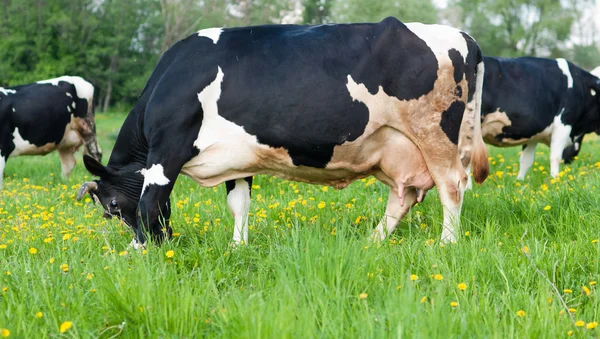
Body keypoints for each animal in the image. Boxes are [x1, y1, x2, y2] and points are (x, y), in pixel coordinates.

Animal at [76, 17, 488, 247]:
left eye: (112, 206)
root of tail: (463, 36)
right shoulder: (238, 161)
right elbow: (238, 204)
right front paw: (237, 247)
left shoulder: (167, 148)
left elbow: (150, 203)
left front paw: (144, 250)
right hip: (398, 147)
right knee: (403, 196)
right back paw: (372, 242)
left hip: (434, 133)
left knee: (453, 185)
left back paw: (446, 244)